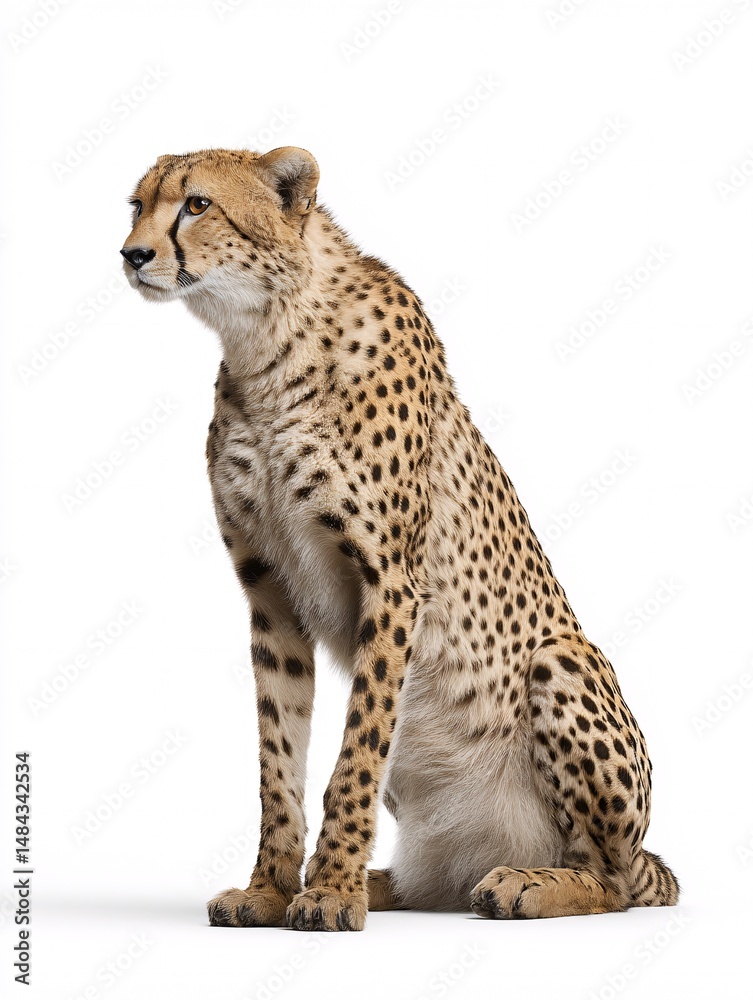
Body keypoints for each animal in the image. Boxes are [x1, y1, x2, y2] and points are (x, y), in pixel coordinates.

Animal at [121, 146, 679, 931]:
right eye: (135, 205)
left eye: (196, 205)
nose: (132, 254)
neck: (267, 337)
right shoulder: (269, 594)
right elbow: (278, 762)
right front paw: (272, 888)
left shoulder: (390, 585)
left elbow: (354, 753)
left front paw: (328, 892)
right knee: (440, 881)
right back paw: (391, 883)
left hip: (559, 661)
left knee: (617, 879)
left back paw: (528, 883)